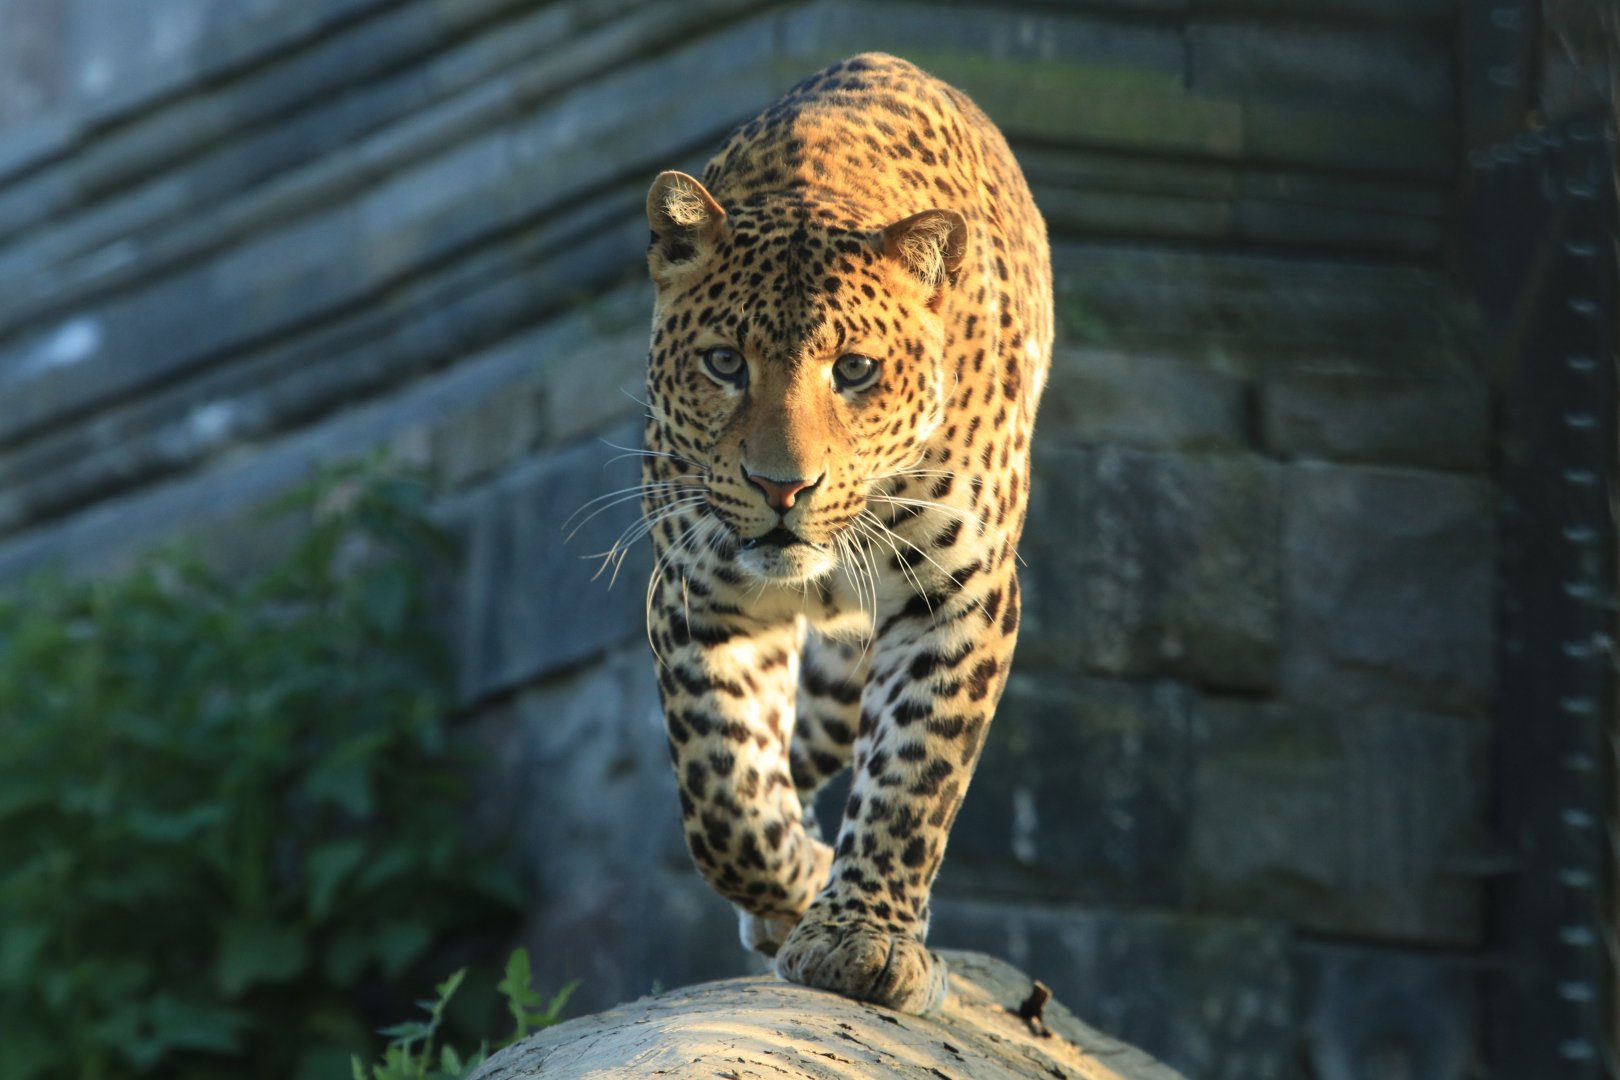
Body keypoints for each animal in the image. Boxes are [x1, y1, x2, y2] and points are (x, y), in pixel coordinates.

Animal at [637, 52, 1051, 1015]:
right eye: (724, 362)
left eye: (855, 370)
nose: (782, 487)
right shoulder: (698, 592)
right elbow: (724, 797)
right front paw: (798, 883)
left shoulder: (962, 595)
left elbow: (915, 772)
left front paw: (864, 937)